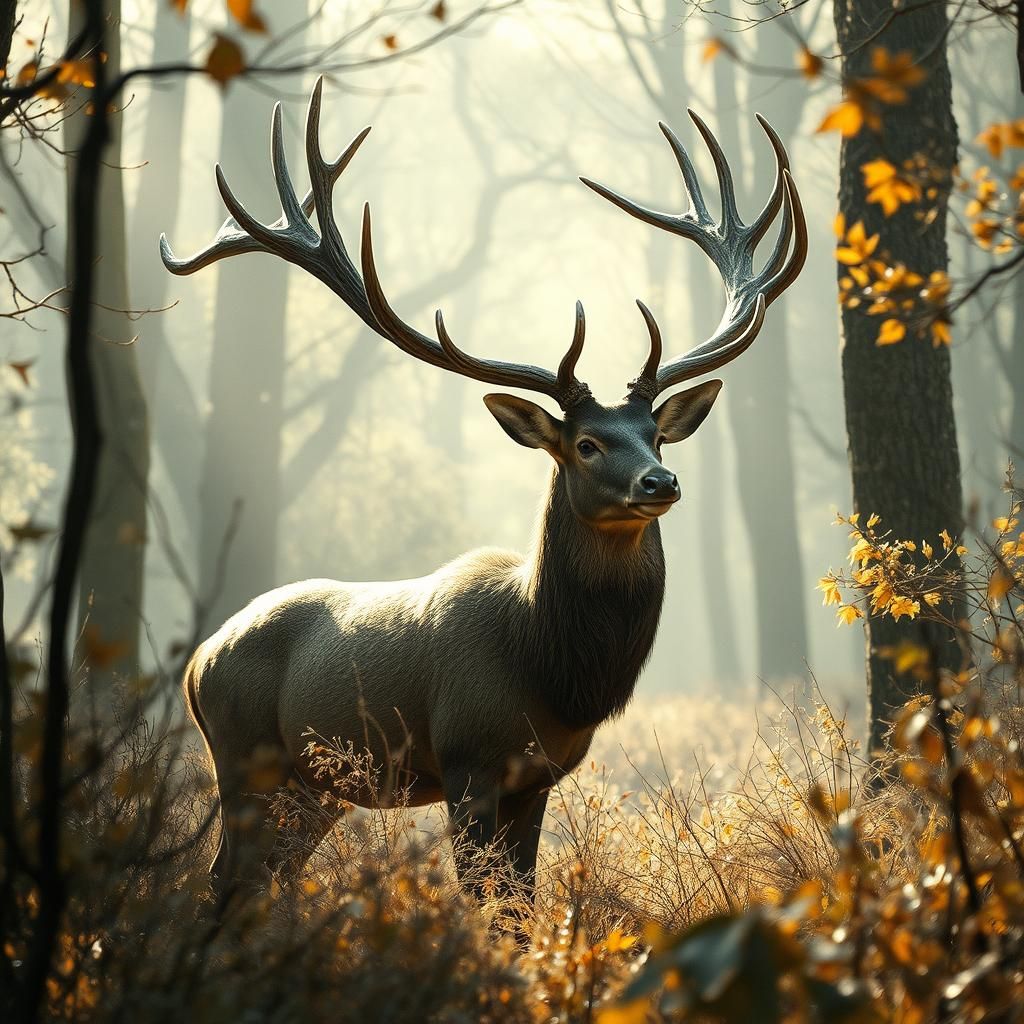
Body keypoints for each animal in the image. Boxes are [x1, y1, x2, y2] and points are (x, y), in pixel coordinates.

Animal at [161, 78, 806, 930]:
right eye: (586, 444)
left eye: (655, 437)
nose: (659, 485)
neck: (547, 668)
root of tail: (198, 660)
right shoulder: (467, 759)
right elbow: (483, 905)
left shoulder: (539, 777)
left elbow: (522, 908)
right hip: (243, 759)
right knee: (220, 882)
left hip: (313, 787)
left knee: (256, 883)